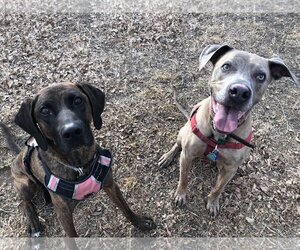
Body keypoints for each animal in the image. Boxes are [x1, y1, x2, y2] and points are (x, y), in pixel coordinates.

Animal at [6, 82, 156, 236]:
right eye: (45, 110)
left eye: (78, 101)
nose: (72, 132)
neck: (80, 165)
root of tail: (19, 154)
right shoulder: (64, 215)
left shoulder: (110, 184)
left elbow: (125, 208)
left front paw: (140, 222)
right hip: (26, 184)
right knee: (25, 202)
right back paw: (34, 224)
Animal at [158, 45, 298, 217]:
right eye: (226, 66)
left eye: (261, 76)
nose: (239, 92)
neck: (218, 136)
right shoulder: (187, 155)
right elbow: (184, 178)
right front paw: (180, 194)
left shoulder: (231, 169)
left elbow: (218, 188)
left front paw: (212, 202)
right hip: (183, 132)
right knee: (177, 145)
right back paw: (167, 156)